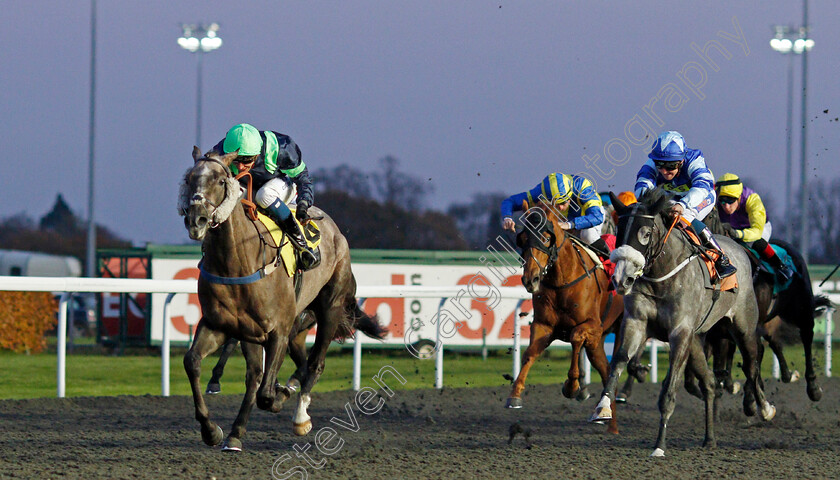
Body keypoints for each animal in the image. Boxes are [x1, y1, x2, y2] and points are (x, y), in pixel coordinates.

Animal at [506, 199, 624, 436]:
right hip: (597, 343)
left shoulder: (593, 326)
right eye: (523, 238)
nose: (530, 279)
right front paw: (515, 395)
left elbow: (576, 337)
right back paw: (610, 422)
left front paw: (573, 387)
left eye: (545, 237)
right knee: (607, 372)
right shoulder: (544, 325)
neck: (562, 280)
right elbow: (530, 354)